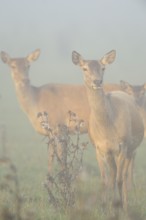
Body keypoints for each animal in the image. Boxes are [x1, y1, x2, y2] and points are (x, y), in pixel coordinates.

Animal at [72, 49, 144, 210]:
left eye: (103, 68)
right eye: (84, 68)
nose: (97, 81)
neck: (107, 130)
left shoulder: (123, 145)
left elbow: (119, 179)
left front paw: (121, 207)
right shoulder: (100, 148)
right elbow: (105, 180)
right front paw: (105, 206)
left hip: (130, 149)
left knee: (123, 175)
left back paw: (126, 202)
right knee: (113, 175)